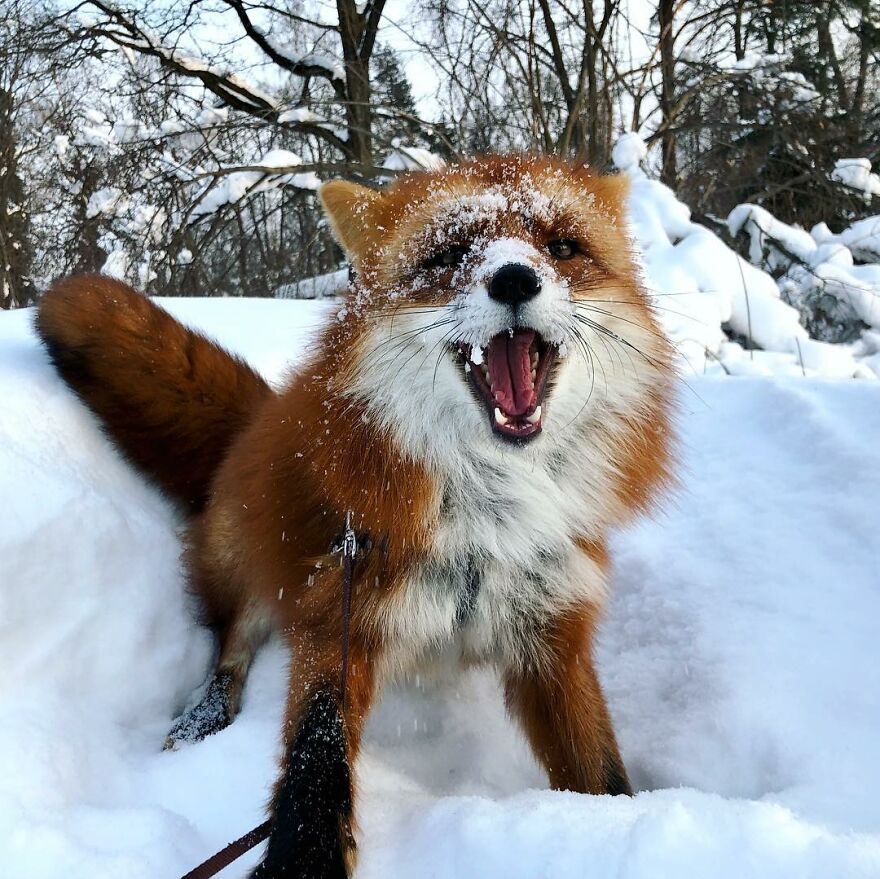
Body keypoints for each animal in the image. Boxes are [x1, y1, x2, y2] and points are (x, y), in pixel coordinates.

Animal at [36, 155, 672, 876]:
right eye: (448, 254)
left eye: (563, 247)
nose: (514, 276)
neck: (488, 527)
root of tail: (260, 419)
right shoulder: (340, 609)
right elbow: (317, 755)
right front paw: (302, 859)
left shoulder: (552, 634)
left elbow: (601, 770)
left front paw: (617, 823)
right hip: (246, 568)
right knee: (229, 649)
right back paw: (206, 714)